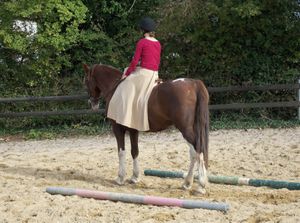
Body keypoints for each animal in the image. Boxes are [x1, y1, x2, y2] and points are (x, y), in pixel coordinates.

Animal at [83, 62, 210, 193]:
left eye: (86, 81)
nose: (92, 103)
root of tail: (194, 83)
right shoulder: (133, 129)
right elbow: (135, 151)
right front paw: (135, 177)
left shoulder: (117, 128)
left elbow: (121, 152)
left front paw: (120, 178)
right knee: (194, 152)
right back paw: (187, 183)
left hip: (185, 129)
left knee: (198, 149)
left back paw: (201, 185)